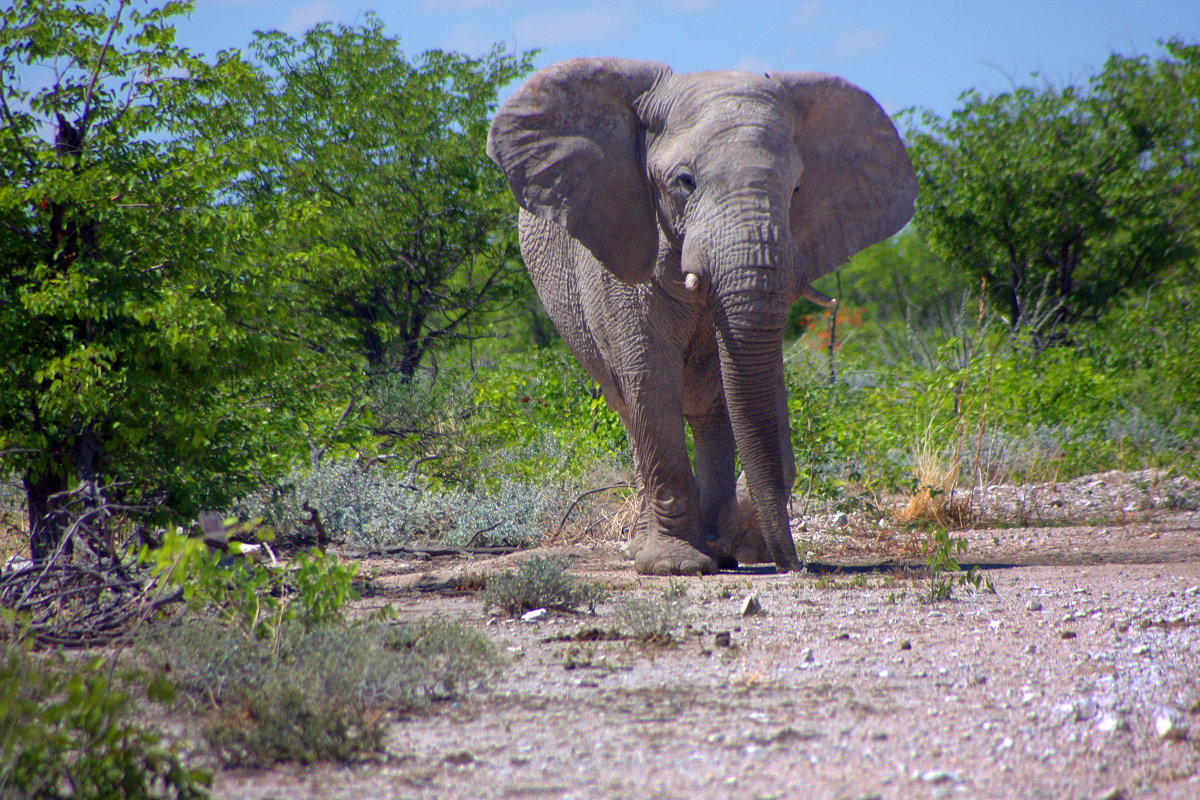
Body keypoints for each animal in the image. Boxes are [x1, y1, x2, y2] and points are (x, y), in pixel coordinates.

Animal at [482, 57, 912, 575]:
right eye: (684, 182)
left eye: (796, 188)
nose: (794, 564)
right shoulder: (620, 251)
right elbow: (650, 380)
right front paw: (677, 566)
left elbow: (758, 385)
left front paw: (730, 545)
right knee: (631, 405)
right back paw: (651, 549)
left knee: (710, 405)